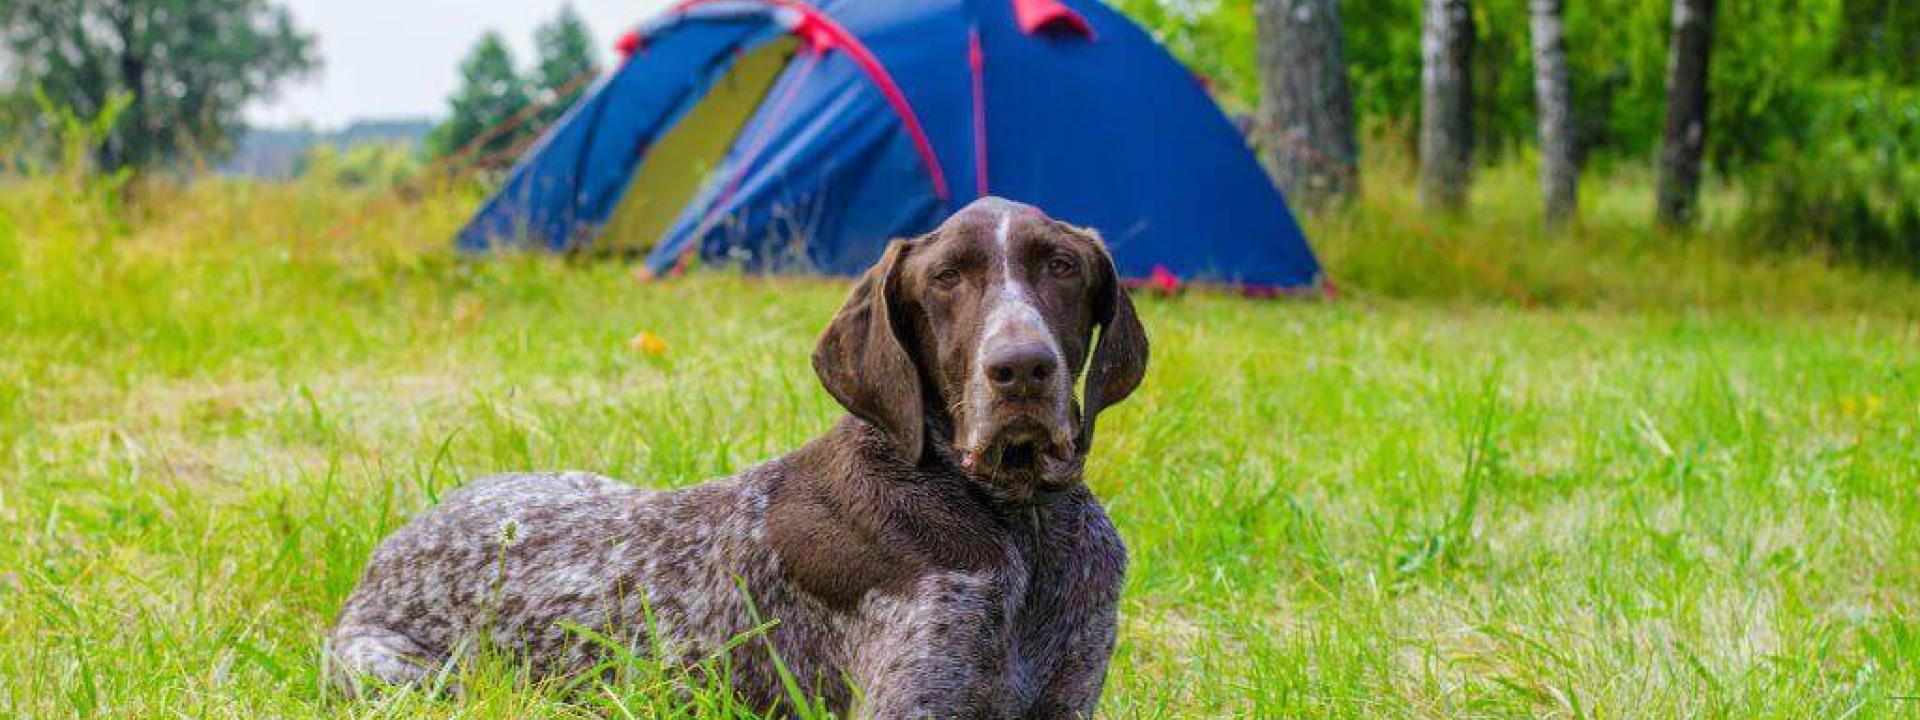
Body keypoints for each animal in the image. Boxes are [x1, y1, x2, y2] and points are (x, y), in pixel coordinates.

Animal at [324, 194, 1144, 718]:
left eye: (1060, 267)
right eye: (946, 278)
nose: (1022, 368)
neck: (1018, 522)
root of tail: (389, 549)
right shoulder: (912, 702)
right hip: (403, 674)